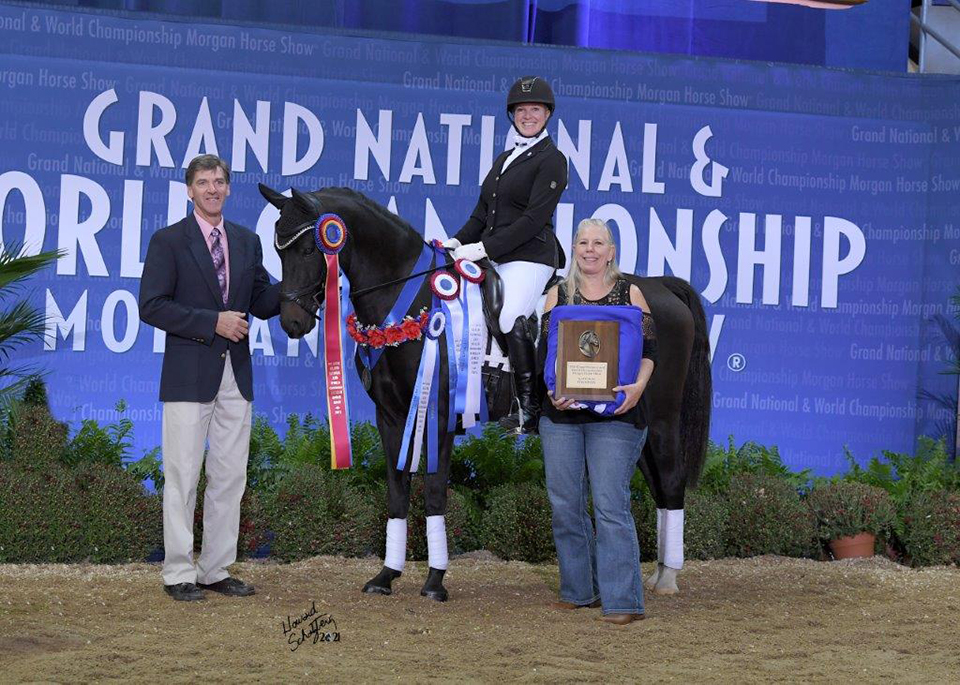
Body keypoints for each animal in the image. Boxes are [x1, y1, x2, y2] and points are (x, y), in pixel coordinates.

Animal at [258, 184, 708, 596]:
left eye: (309, 250)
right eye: (278, 251)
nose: (293, 323)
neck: (410, 301)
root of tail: (661, 287)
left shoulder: (437, 415)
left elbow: (434, 494)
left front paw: (435, 582)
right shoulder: (391, 417)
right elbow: (397, 491)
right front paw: (386, 576)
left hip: (661, 418)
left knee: (671, 481)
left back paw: (668, 578)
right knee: (657, 483)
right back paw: (657, 574)